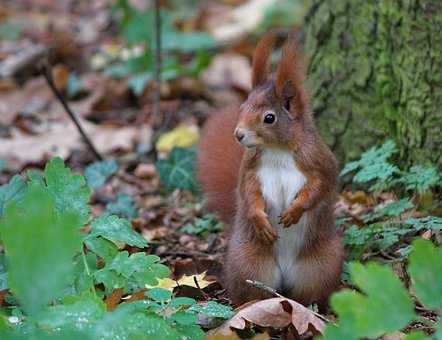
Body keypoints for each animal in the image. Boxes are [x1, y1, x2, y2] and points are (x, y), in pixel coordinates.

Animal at [198, 31, 346, 306]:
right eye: (242, 107)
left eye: (269, 118)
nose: (238, 134)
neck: (277, 150)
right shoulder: (251, 169)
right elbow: (249, 193)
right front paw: (261, 220)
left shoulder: (318, 161)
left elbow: (319, 187)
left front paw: (294, 211)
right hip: (248, 263)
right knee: (254, 290)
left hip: (322, 265)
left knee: (310, 292)